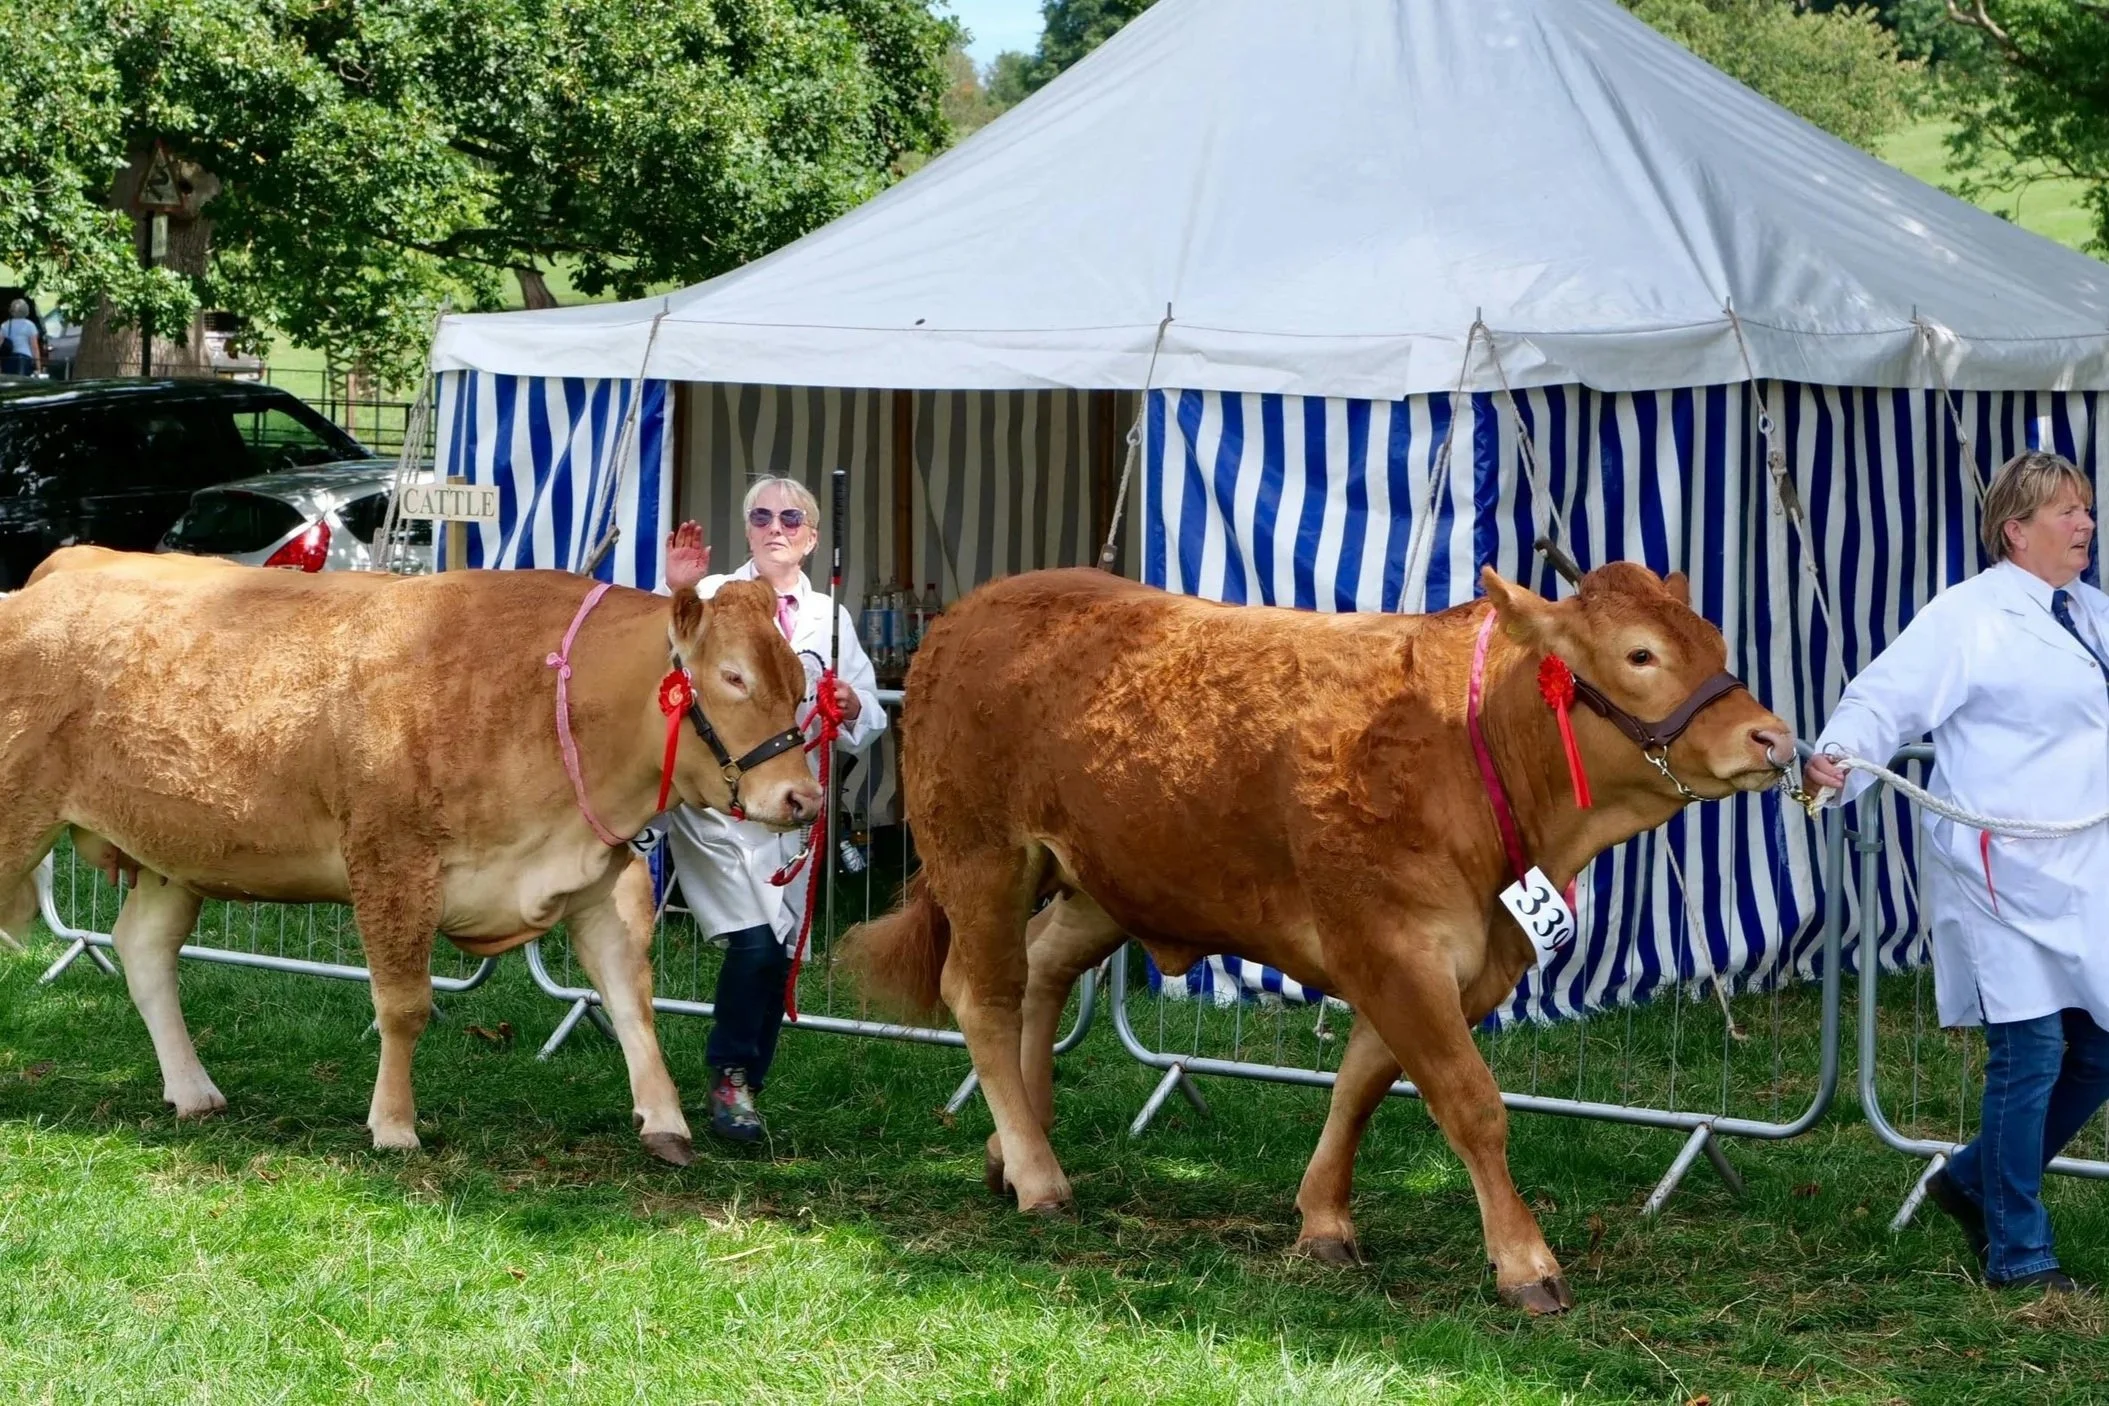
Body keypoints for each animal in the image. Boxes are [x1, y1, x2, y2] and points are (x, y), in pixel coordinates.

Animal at [0, 546, 818, 1164]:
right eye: (733, 677)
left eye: (801, 682)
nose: (802, 798)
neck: (547, 687)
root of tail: (55, 573)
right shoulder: (391, 859)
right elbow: (404, 1004)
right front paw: (393, 1125)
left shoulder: (598, 874)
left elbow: (630, 998)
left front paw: (665, 1121)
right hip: (21, 818)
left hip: (181, 850)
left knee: (142, 948)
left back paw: (195, 1092)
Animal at [843, 562, 1793, 1313]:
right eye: (1639, 654)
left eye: (1714, 640)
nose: (1774, 738)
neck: (1469, 743)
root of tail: (975, 608)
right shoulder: (1389, 943)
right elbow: (1468, 1102)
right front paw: (1525, 1264)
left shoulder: (1435, 958)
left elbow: (1361, 1084)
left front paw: (1324, 1220)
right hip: (980, 855)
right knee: (983, 996)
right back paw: (1039, 1178)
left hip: (1107, 880)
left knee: (1040, 972)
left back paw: (1015, 1149)